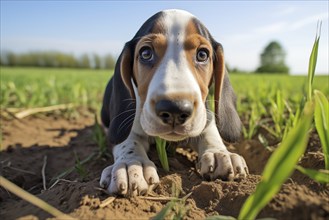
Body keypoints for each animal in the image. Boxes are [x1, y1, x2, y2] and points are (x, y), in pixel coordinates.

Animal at [98, 9, 247, 196]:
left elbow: (210, 133)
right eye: (146, 53)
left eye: (202, 54)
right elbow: (128, 141)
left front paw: (220, 154)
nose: (175, 109)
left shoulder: (205, 117)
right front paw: (130, 164)